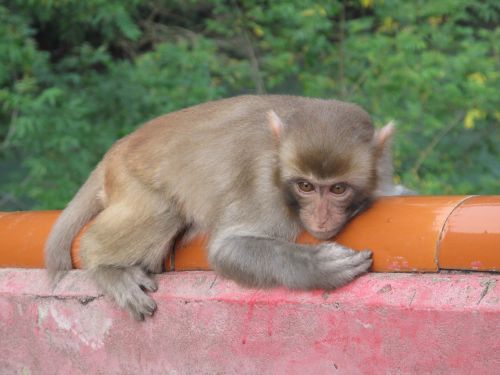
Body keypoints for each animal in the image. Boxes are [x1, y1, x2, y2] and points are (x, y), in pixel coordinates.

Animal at [46, 94, 398, 320]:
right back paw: (106, 267)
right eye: (306, 186)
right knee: (162, 212)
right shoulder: (264, 186)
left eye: (338, 189)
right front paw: (319, 267)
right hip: (131, 178)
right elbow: (227, 249)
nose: (321, 218)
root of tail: (117, 149)